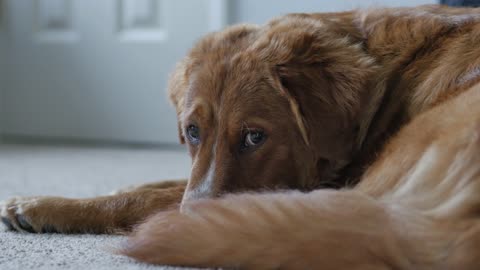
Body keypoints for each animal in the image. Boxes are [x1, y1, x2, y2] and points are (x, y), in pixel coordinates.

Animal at [0, 3, 480, 268]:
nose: (193, 221)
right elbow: (160, 184)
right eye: (192, 131)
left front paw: (46, 205)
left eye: (254, 137)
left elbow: (146, 198)